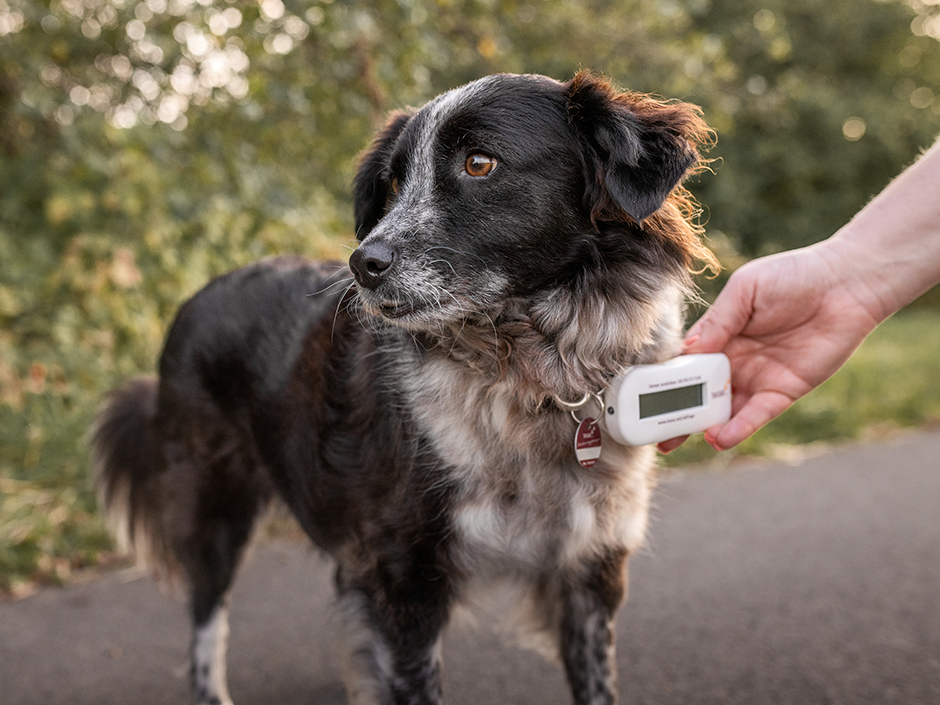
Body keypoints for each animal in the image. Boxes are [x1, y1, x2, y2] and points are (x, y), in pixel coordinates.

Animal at [92, 67, 716, 704]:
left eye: (479, 163)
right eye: (393, 182)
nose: (361, 264)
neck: (531, 374)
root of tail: (194, 300)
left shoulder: (590, 569)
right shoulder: (404, 580)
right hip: (216, 507)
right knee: (205, 618)